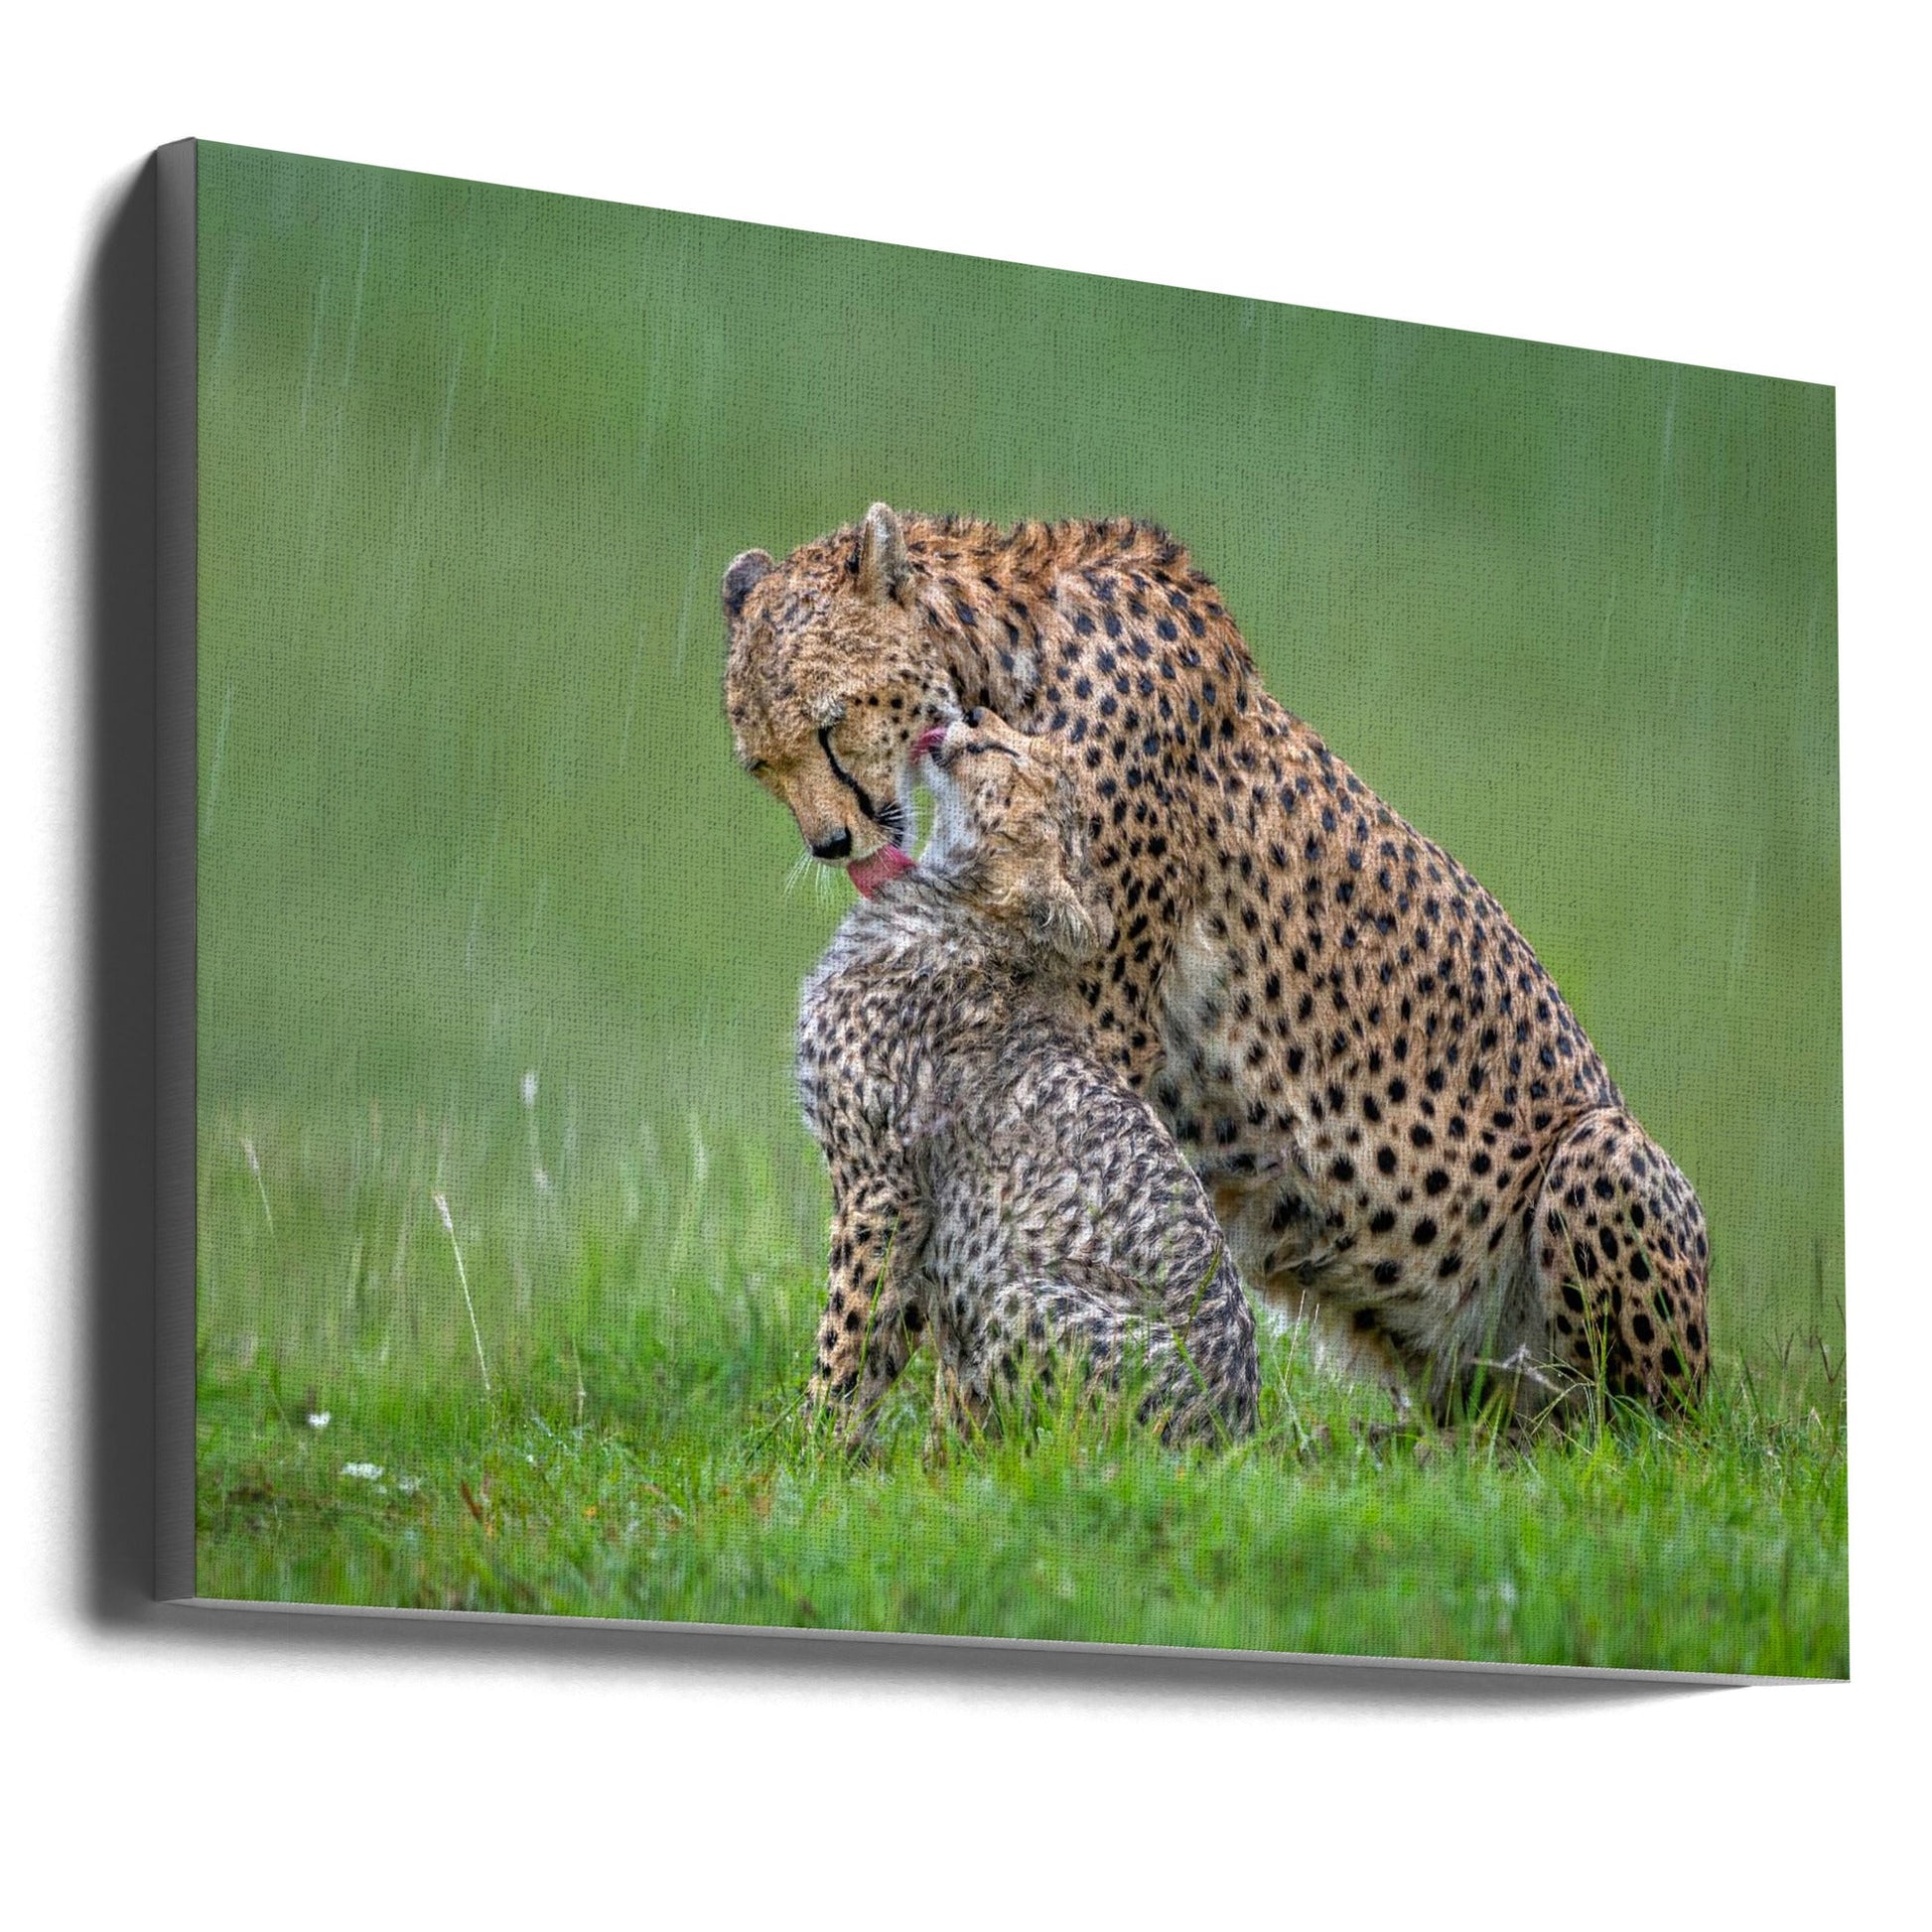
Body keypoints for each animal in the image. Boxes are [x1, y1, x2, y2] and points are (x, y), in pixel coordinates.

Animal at [796, 707, 1259, 1449]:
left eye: (1008, 755)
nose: (974, 715)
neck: (957, 903)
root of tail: (1234, 1433)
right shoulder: (914, 1217)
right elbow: (884, 1342)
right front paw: (853, 1458)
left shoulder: (884, 1189)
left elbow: (848, 1335)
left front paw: (810, 1452)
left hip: (1018, 1295)